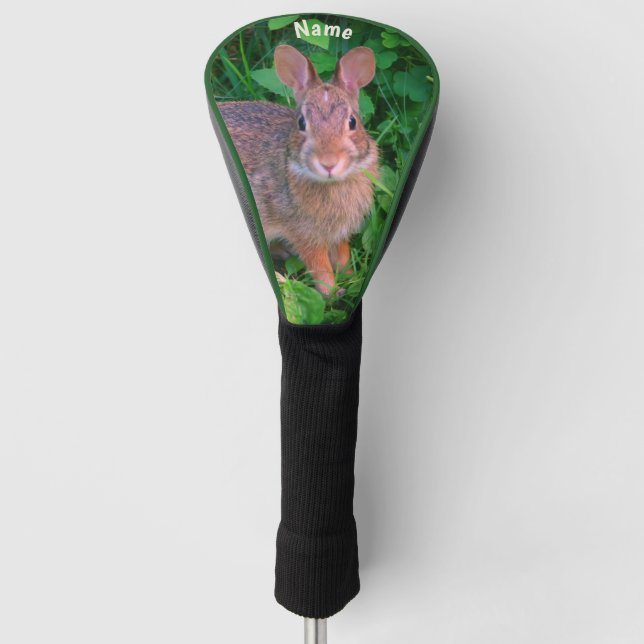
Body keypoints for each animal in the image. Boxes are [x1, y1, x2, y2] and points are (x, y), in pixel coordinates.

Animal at [217, 44, 379, 295]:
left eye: (352, 122)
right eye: (301, 123)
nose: (329, 163)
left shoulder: (338, 233)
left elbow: (342, 257)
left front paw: (351, 279)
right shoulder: (305, 235)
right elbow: (321, 267)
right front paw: (331, 293)